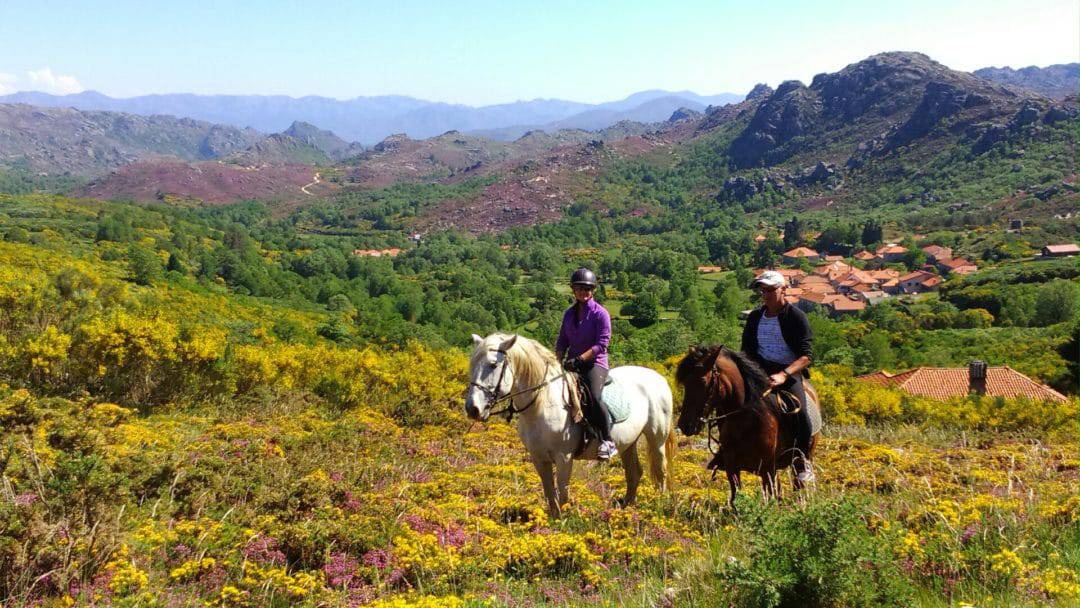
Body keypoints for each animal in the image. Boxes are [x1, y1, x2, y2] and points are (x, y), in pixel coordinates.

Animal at [464, 332, 673, 518]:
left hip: (656, 438)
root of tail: (659, 378)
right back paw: (625, 509)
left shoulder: (564, 457)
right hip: (628, 442)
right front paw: (555, 520)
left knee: (661, 470)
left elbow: (563, 490)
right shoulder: (539, 458)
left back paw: (659, 504)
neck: (543, 403)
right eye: (472, 364)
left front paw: (566, 520)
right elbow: (549, 491)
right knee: (634, 473)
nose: (472, 409)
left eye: (493, 365)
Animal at [673, 347, 816, 509]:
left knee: (798, 486)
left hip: (798, 461)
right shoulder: (732, 468)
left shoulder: (767, 469)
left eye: (703, 381)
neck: (746, 422)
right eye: (685, 382)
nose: (685, 425)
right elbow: (736, 500)